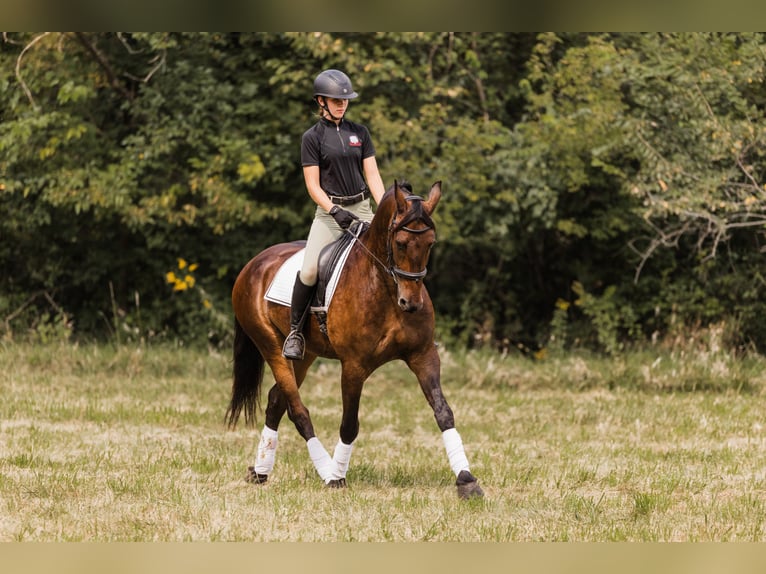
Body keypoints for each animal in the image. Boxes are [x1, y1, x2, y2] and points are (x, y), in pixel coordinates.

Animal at [226, 180, 483, 499]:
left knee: (276, 400)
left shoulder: (423, 355)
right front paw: (337, 477)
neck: (386, 288)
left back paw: (261, 471)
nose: (410, 304)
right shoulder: (353, 365)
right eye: (400, 243)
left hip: (304, 354)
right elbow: (349, 424)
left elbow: (443, 412)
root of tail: (254, 264)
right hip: (270, 345)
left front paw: (466, 479)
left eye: (430, 243)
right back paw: (324, 469)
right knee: (297, 409)